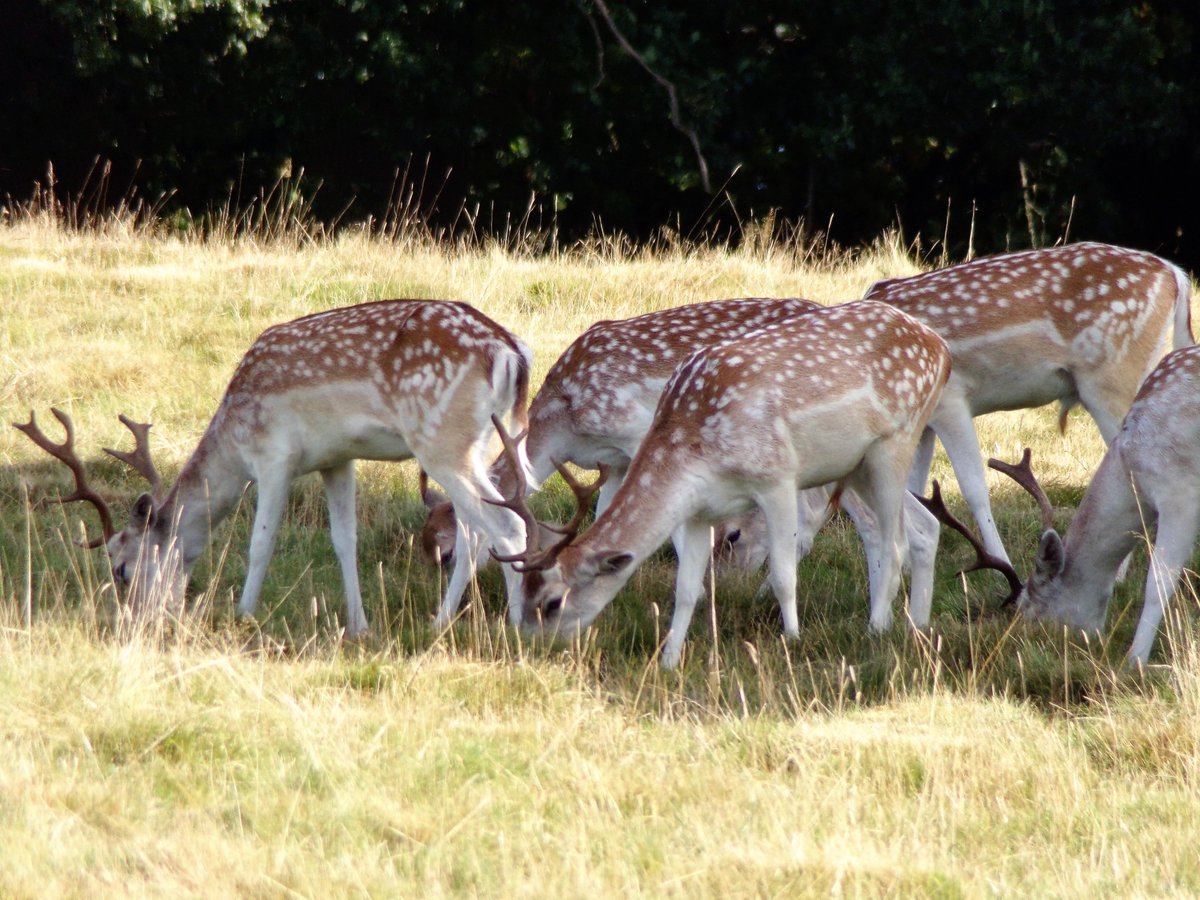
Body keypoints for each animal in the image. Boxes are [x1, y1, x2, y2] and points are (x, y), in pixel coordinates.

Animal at [14, 299, 533, 635]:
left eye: (121, 568)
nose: (139, 619)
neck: (232, 435)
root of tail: (511, 352)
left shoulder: (273, 455)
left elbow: (260, 541)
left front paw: (244, 614)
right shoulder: (337, 458)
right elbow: (344, 541)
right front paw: (359, 626)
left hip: (442, 439)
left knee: (504, 526)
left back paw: (510, 626)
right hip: (480, 443)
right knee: (479, 529)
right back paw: (446, 620)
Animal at [422, 297, 942, 629]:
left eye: (452, 548)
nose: (443, 616)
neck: (563, 423)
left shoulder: (637, 435)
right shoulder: (611, 463)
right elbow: (605, 519)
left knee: (859, 521)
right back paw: (911, 622)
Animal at [865, 241, 1193, 580]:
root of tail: (1174, 274)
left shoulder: (950, 400)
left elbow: (973, 487)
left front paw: (1001, 567)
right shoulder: (921, 426)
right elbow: (913, 488)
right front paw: (906, 570)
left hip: (1111, 379)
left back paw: (1115, 575)